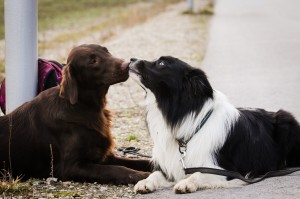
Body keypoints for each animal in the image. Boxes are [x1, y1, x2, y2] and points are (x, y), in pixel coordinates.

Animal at [0, 44, 150, 184]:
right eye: (93, 61)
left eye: (106, 51)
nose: (127, 64)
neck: (84, 106)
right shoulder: (71, 167)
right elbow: (116, 169)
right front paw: (143, 177)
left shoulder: (105, 156)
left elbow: (143, 161)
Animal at [128, 56, 300, 194]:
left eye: (162, 63)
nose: (131, 59)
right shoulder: (169, 167)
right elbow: (155, 174)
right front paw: (144, 182)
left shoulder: (227, 170)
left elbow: (199, 174)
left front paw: (186, 183)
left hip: (286, 119)